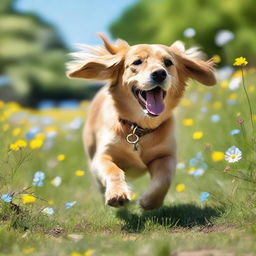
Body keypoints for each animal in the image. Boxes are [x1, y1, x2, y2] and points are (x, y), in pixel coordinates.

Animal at [66, 34, 216, 210]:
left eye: (168, 62)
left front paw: (149, 201)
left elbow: (164, 178)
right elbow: (113, 170)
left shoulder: (166, 155)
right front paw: (117, 193)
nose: (159, 73)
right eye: (137, 62)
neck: (139, 128)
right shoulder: (103, 156)